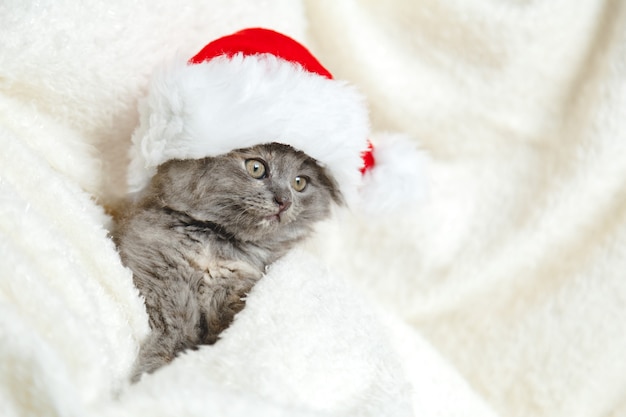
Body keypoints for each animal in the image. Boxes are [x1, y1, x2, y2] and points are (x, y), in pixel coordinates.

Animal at [109, 142, 338, 380]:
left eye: (300, 182)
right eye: (256, 168)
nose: (285, 200)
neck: (217, 247)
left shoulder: (241, 287)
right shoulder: (161, 274)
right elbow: (172, 329)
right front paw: (151, 373)